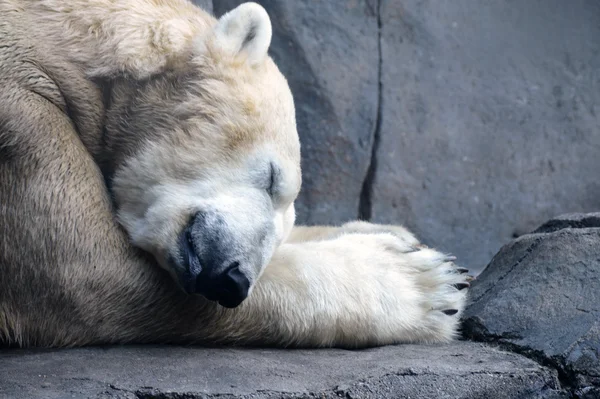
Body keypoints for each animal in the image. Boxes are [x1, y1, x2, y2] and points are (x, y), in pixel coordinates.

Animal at [0, 0, 468, 348]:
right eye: (272, 177)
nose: (232, 278)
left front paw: (397, 236)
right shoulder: (20, 109)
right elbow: (86, 270)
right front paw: (431, 286)